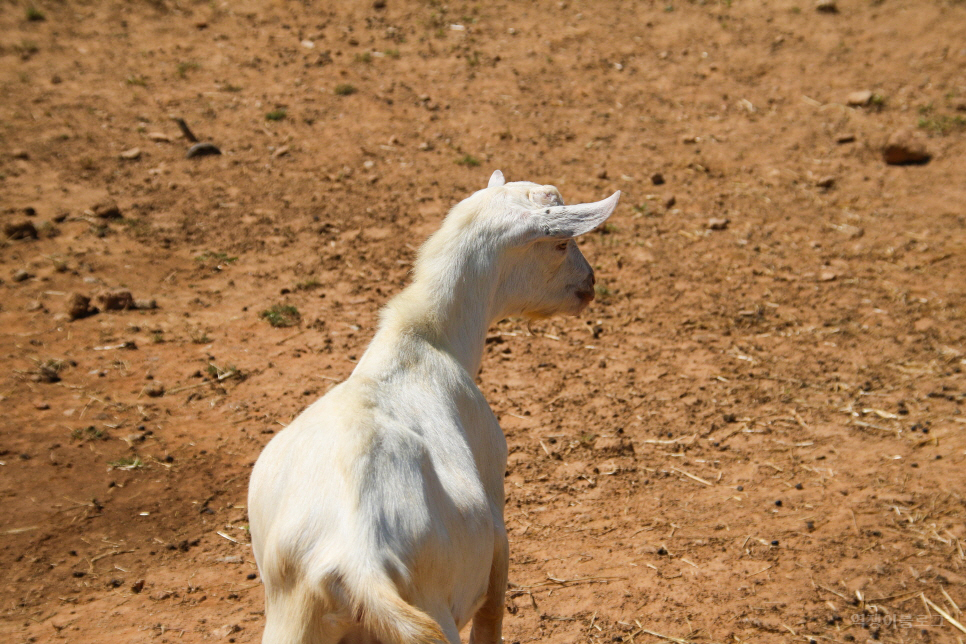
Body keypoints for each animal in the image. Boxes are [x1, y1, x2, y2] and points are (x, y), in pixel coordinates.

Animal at [248, 171, 620, 644]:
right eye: (560, 244)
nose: (590, 283)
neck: (426, 340)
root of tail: (359, 563)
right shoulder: (496, 510)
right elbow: (491, 616)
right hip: (433, 610)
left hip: (291, 621)